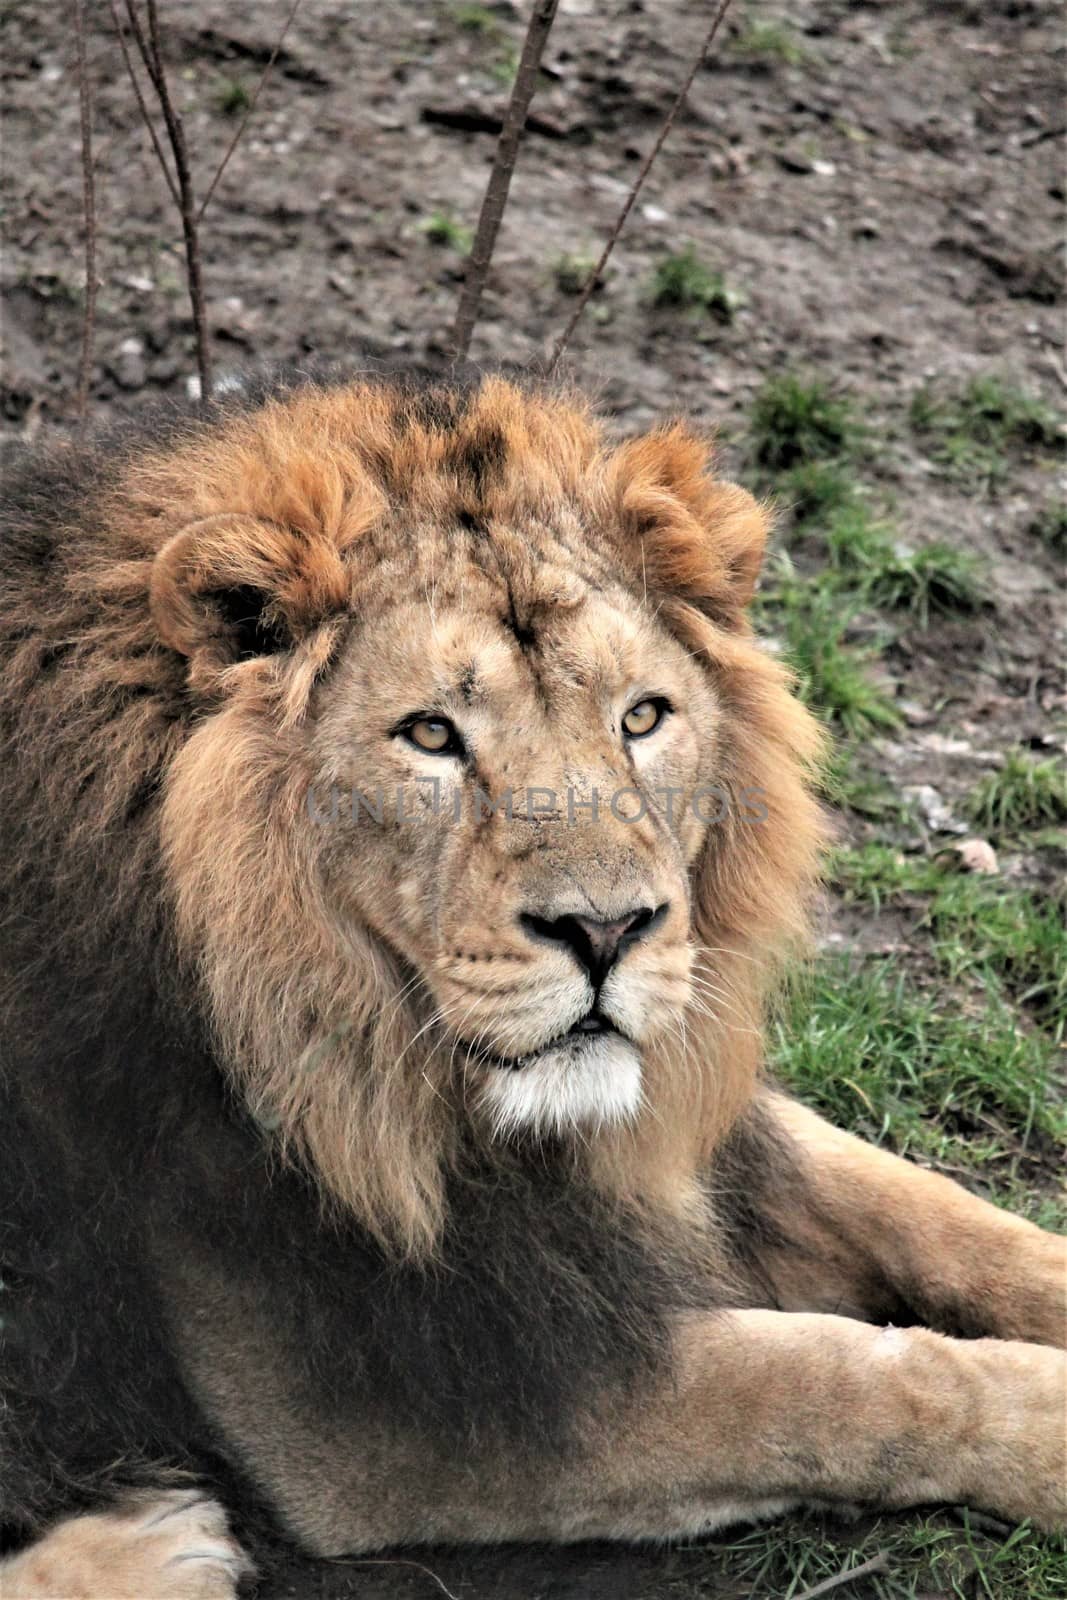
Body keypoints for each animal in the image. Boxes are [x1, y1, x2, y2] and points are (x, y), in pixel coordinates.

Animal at [0, 368, 1062, 1593]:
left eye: (641, 716)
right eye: (429, 735)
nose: (605, 930)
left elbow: (931, 1211)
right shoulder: (381, 1409)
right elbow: (845, 1379)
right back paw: (156, 1543)